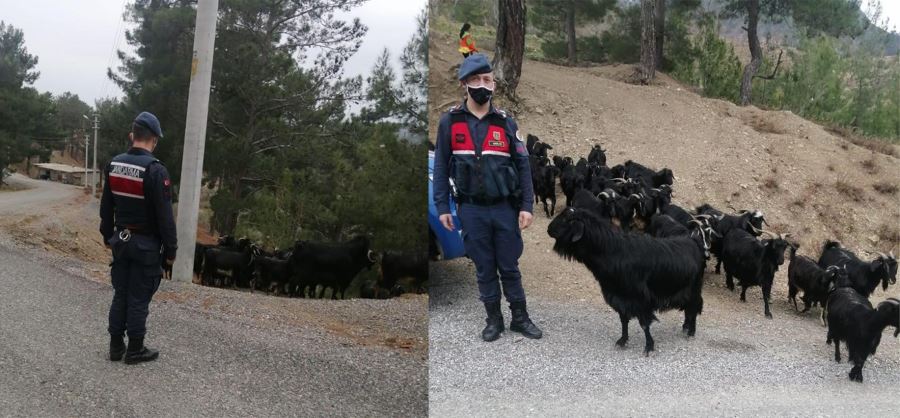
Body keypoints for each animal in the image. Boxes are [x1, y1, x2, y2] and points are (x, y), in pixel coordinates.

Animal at [544, 207, 708, 354]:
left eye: (566, 220)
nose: (548, 229)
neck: (613, 252)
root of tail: (692, 240)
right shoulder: (619, 297)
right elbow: (623, 320)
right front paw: (622, 341)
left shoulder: (641, 300)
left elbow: (644, 324)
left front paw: (649, 347)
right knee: (688, 308)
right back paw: (686, 327)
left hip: (694, 287)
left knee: (694, 306)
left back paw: (691, 331)